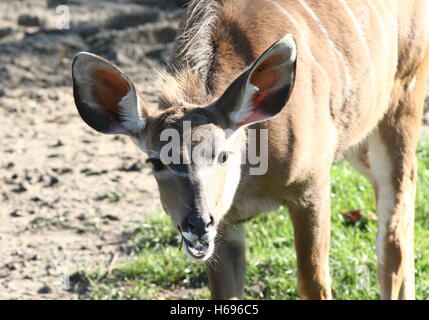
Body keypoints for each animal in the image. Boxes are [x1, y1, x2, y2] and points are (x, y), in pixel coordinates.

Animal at [72, 0, 428, 300]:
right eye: (156, 162)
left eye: (222, 155)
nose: (196, 223)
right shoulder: (226, 223)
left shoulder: (311, 185)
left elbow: (313, 283)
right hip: (360, 135)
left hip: (402, 99)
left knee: (392, 240)